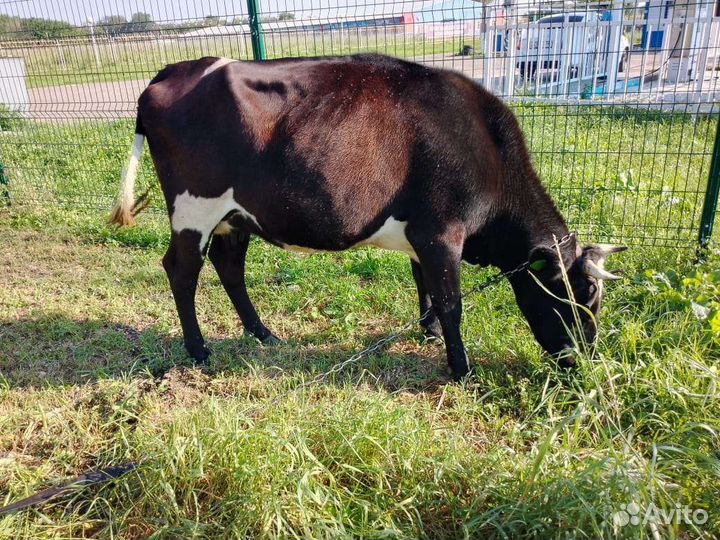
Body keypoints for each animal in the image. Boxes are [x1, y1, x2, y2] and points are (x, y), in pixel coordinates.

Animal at [108, 53, 625, 380]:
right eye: (578, 294)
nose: (583, 359)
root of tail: (176, 70)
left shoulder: (422, 234)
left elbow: (424, 285)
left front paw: (428, 331)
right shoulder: (442, 232)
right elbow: (452, 301)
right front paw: (461, 369)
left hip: (235, 215)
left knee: (229, 267)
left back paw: (263, 335)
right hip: (194, 207)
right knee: (181, 271)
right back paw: (199, 350)